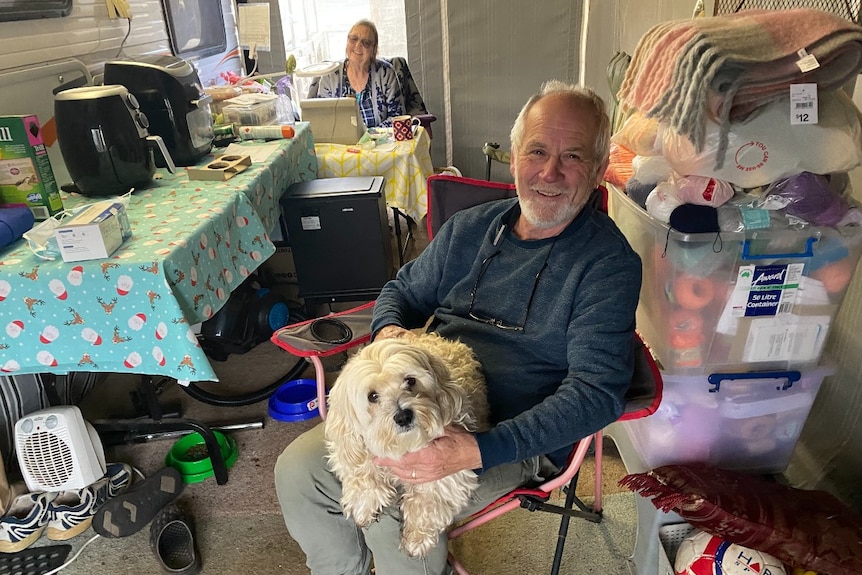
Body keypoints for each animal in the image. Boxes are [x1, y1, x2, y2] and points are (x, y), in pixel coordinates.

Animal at [324, 332, 490, 560]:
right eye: (372, 396)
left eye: (410, 381)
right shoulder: (347, 443)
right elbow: (360, 470)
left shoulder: (448, 466)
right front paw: (366, 501)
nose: (403, 416)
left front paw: (416, 538)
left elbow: (429, 501)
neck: (401, 446)